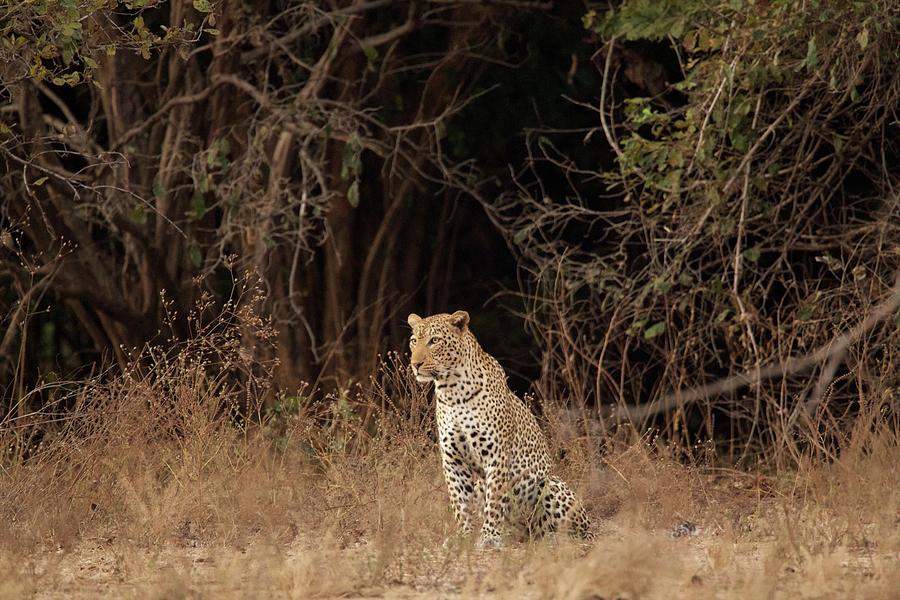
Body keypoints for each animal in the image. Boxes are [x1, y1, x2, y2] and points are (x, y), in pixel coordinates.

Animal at [406, 310, 592, 548]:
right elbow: (460, 503)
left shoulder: (496, 456)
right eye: (414, 341)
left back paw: (552, 539)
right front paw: (464, 536)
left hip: (550, 484)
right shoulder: (453, 460)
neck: (452, 391)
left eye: (434, 341)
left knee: (572, 531)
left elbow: (494, 500)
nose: (415, 364)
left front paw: (489, 537)